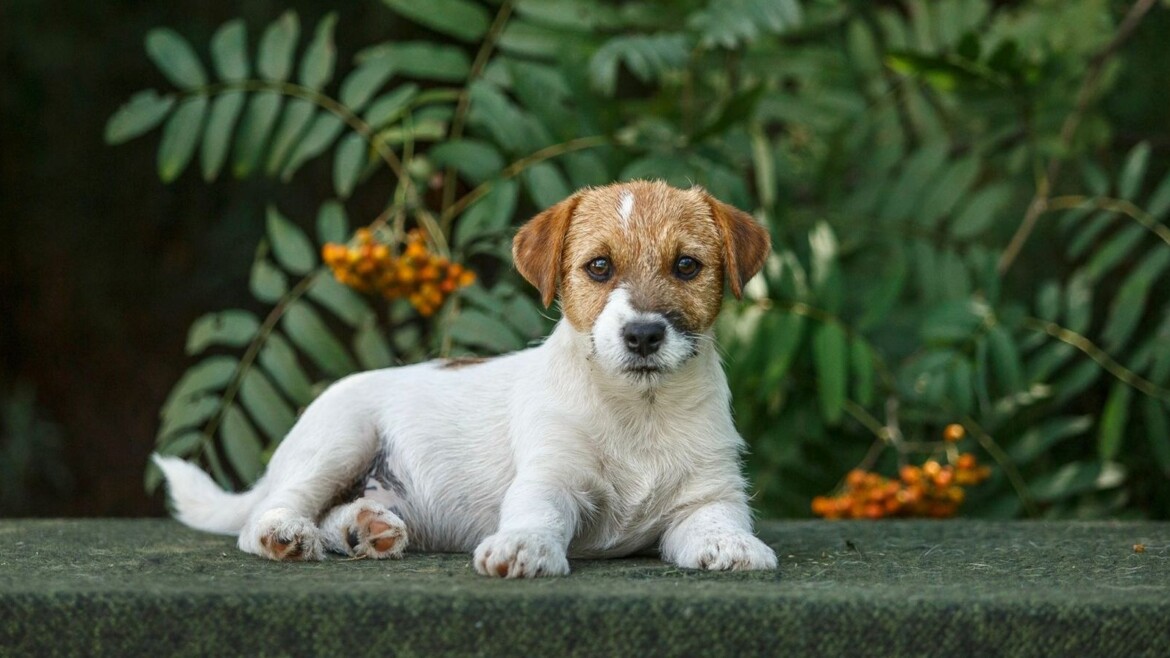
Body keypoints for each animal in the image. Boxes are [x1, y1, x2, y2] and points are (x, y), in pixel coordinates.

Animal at [153, 179, 776, 573]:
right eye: (599, 267)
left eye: (686, 266)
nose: (644, 335)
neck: (639, 410)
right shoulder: (550, 478)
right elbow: (536, 514)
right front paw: (524, 547)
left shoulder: (708, 495)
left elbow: (716, 523)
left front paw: (734, 547)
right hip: (339, 440)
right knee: (273, 510)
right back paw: (285, 536)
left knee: (333, 513)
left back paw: (365, 528)